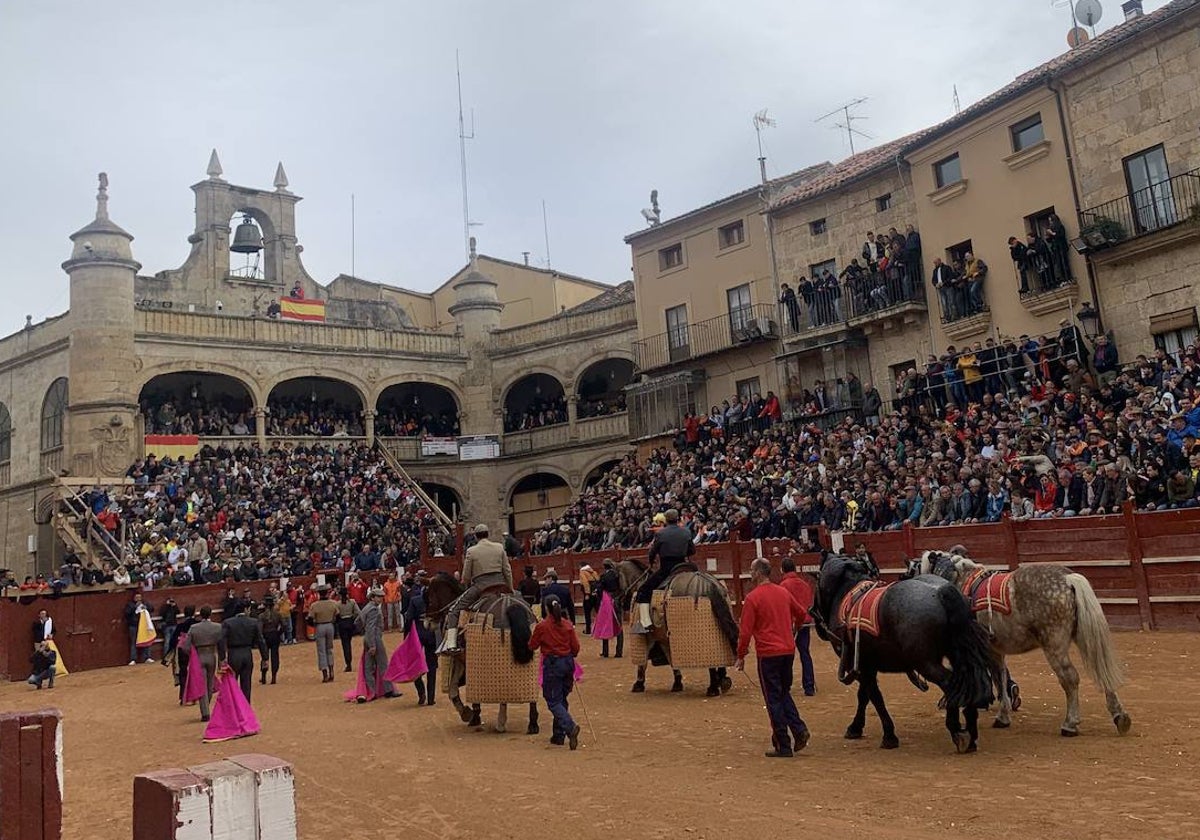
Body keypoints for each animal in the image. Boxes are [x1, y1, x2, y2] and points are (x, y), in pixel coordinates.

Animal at [811, 554, 998, 753]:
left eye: (817, 578)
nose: (812, 614)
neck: (846, 593)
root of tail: (941, 591)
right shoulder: (868, 665)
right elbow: (865, 695)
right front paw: (856, 727)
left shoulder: (862, 666)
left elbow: (874, 696)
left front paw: (888, 735)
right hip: (957, 653)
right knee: (966, 681)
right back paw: (971, 730)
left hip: (925, 663)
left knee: (951, 684)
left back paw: (956, 730)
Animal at [916, 552, 1132, 734]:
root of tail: (1068, 579)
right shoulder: (996, 650)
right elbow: (1000, 677)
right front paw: (1003, 714)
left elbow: (996, 677)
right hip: (1082, 636)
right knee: (1101, 670)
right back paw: (1119, 716)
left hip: (1054, 645)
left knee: (1070, 678)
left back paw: (1070, 724)